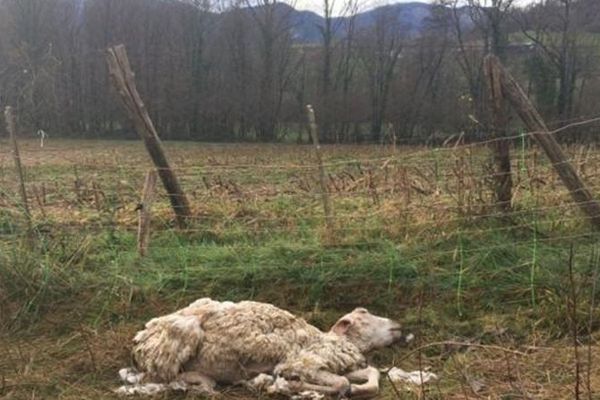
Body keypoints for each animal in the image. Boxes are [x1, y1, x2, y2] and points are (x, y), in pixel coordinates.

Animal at [117, 296, 410, 396]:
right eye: (364, 318)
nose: (398, 325)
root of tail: (139, 340)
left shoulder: (333, 364)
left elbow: (371, 376)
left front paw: (359, 388)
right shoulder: (303, 363)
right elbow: (341, 384)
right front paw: (288, 385)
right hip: (180, 337)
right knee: (158, 378)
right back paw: (200, 383)